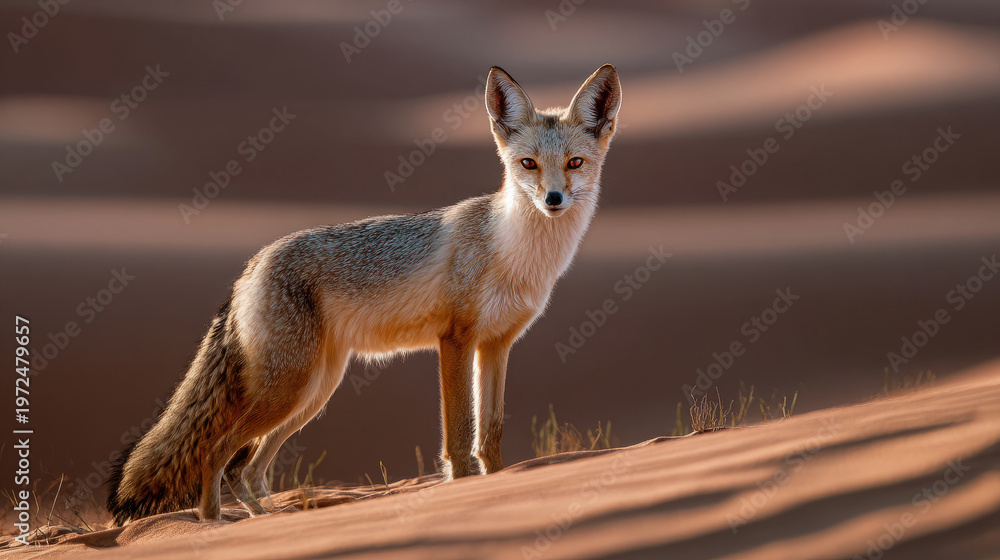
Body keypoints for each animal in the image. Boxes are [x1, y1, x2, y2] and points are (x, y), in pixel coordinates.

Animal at [106, 64, 622, 524]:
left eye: (574, 163)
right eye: (528, 164)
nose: (553, 200)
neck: (513, 251)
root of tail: (251, 267)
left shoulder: (496, 345)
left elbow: (489, 437)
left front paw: (499, 486)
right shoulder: (455, 341)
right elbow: (458, 442)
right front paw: (462, 493)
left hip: (312, 393)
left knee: (247, 469)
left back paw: (264, 520)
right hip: (289, 390)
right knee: (217, 452)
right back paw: (215, 527)